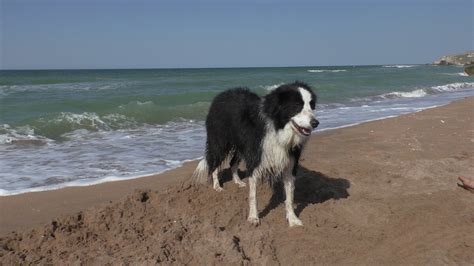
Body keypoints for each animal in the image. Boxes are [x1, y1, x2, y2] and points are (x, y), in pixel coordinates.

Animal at [193, 81, 318, 227]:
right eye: (297, 106)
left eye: (311, 105)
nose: (315, 123)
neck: (278, 129)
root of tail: (222, 95)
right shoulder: (255, 158)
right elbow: (253, 195)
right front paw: (253, 217)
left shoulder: (290, 161)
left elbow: (290, 195)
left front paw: (292, 219)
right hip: (219, 141)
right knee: (214, 161)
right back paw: (217, 185)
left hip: (241, 145)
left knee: (232, 162)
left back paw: (238, 181)